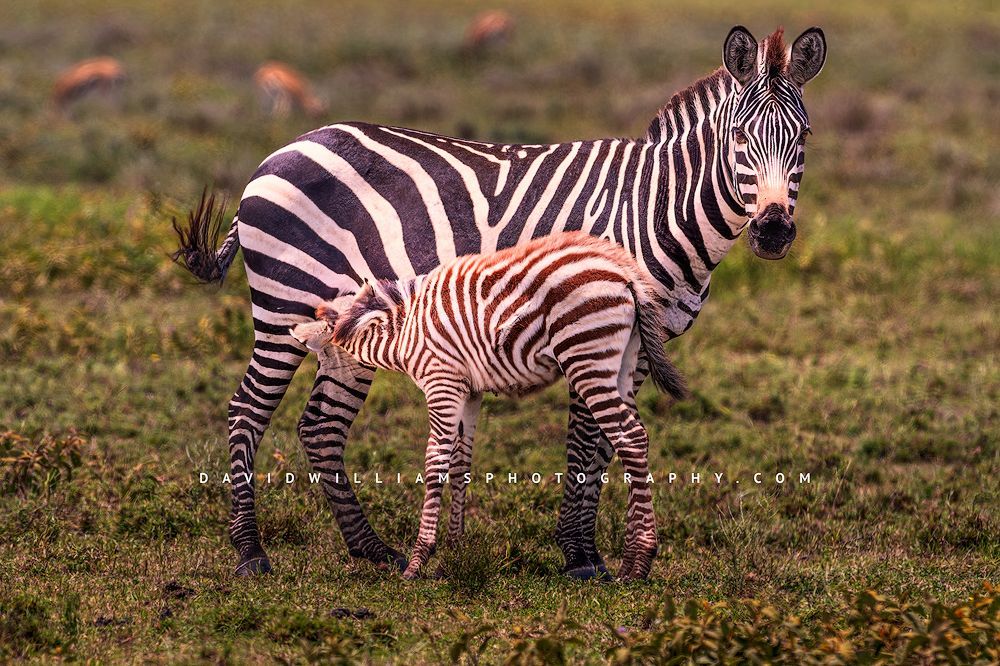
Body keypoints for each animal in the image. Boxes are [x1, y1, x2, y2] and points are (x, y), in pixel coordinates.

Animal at [290, 232, 688, 579]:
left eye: (322, 354)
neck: (403, 334)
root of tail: (627, 274)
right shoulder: (469, 391)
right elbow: (461, 461)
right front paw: (454, 549)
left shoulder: (442, 382)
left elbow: (435, 462)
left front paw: (418, 561)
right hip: (621, 363)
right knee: (635, 439)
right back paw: (631, 560)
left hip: (586, 356)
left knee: (630, 437)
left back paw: (639, 562)